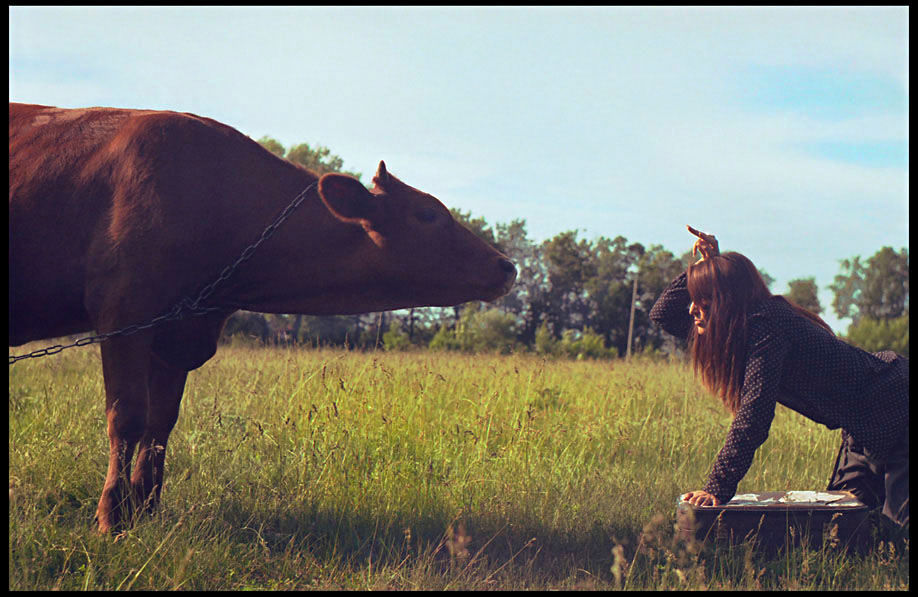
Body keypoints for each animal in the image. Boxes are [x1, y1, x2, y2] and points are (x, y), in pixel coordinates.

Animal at [9, 101, 516, 532]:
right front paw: (113, 518)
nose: (506, 266)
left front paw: (147, 511)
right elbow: (128, 417)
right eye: (428, 214)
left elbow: (160, 425)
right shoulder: (124, 310)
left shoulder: (179, 331)